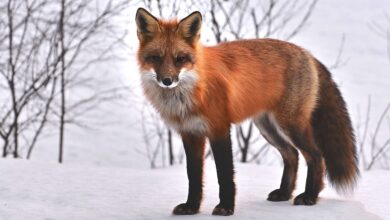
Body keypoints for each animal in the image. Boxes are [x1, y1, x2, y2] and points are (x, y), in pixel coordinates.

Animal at [135, 7, 360, 216]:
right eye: (156, 58)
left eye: (180, 59)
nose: (167, 80)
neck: (191, 92)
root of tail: (307, 53)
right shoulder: (190, 133)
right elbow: (194, 176)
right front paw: (191, 207)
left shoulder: (219, 129)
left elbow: (225, 174)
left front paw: (226, 207)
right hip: (268, 128)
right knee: (292, 155)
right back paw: (284, 193)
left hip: (290, 125)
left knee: (316, 156)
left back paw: (310, 196)